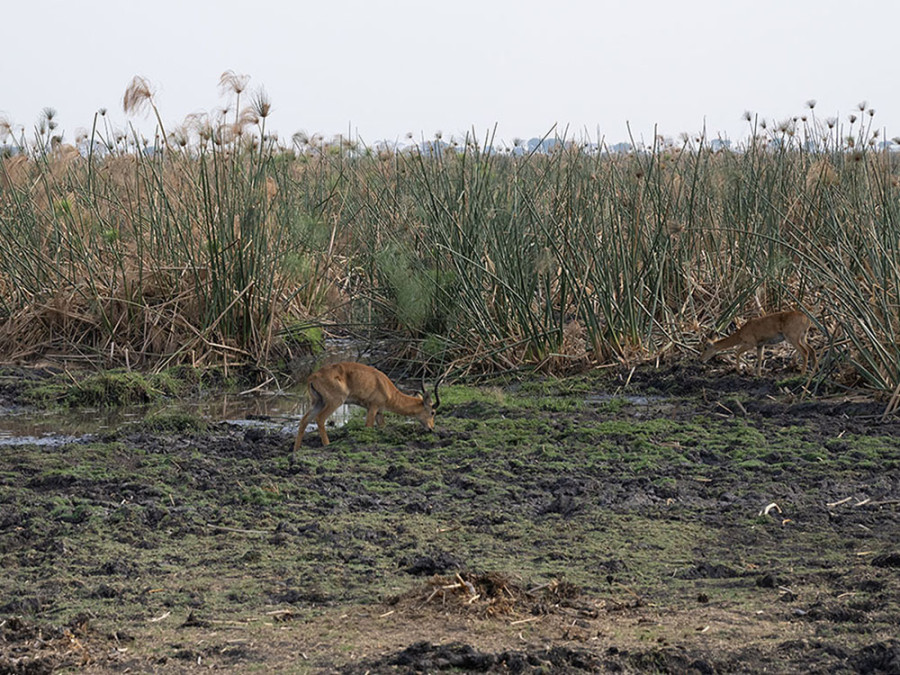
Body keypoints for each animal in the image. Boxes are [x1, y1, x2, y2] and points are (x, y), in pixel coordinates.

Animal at [292, 362, 440, 452]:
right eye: (433, 412)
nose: (431, 428)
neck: (387, 389)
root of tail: (312, 377)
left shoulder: (379, 412)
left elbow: (382, 427)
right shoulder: (372, 408)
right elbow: (368, 426)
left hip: (318, 402)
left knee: (304, 420)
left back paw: (296, 450)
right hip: (335, 402)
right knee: (320, 418)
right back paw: (328, 445)